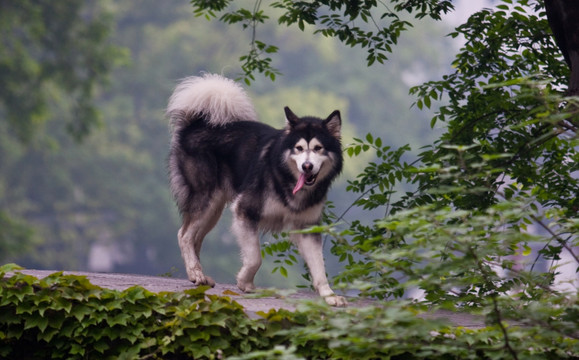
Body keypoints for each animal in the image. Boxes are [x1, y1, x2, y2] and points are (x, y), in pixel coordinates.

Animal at [165, 74, 346, 306]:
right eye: (298, 148)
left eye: (318, 148)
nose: (307, 166)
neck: (285, 177)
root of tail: (197, 124)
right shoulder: (245, 211)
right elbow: (254, 258)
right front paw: (245, 283)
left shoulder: (307, 226)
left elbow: (319, 266)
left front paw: (329, 295)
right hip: (206, 198)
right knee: (184, 234)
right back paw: (195, 272)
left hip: (214, 209)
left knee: (195, 237)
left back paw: (198, 274)